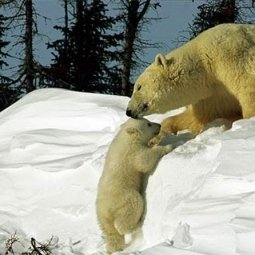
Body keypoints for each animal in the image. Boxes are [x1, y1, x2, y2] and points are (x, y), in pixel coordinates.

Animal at [96, 117, 172, 253]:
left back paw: (114, 249)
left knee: (111, 233)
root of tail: (104, 210)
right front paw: (167, 146)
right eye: (148, 124)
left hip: (102, 218)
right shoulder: (132, 153)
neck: (126, 137)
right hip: (124, 198)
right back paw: (136, 226)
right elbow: (144, 160)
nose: (159, 125)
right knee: (131, 208)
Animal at [126, 22, 255, 136]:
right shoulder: (214, 95)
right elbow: (202, 116)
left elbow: (248, 88)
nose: (128, 111)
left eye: (139, 87)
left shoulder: (231, 56)